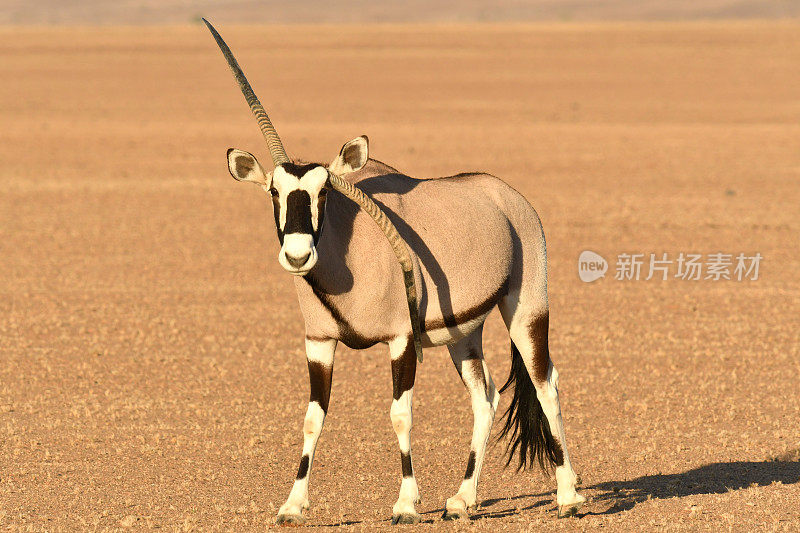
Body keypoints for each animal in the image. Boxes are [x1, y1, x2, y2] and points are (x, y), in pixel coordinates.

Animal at [203, 18, 584, 524]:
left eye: (325, 191)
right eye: (273, 191)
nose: (298, 255)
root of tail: (508, 197)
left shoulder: (401, 338)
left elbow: (400, 414)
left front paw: (405, 503)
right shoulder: (319, 341)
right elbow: (312, 419)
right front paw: (292, 505)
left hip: (525, 309)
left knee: (546, 384)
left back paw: (568, 495)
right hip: (463, 334)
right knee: (484, 396)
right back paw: (462, 499)